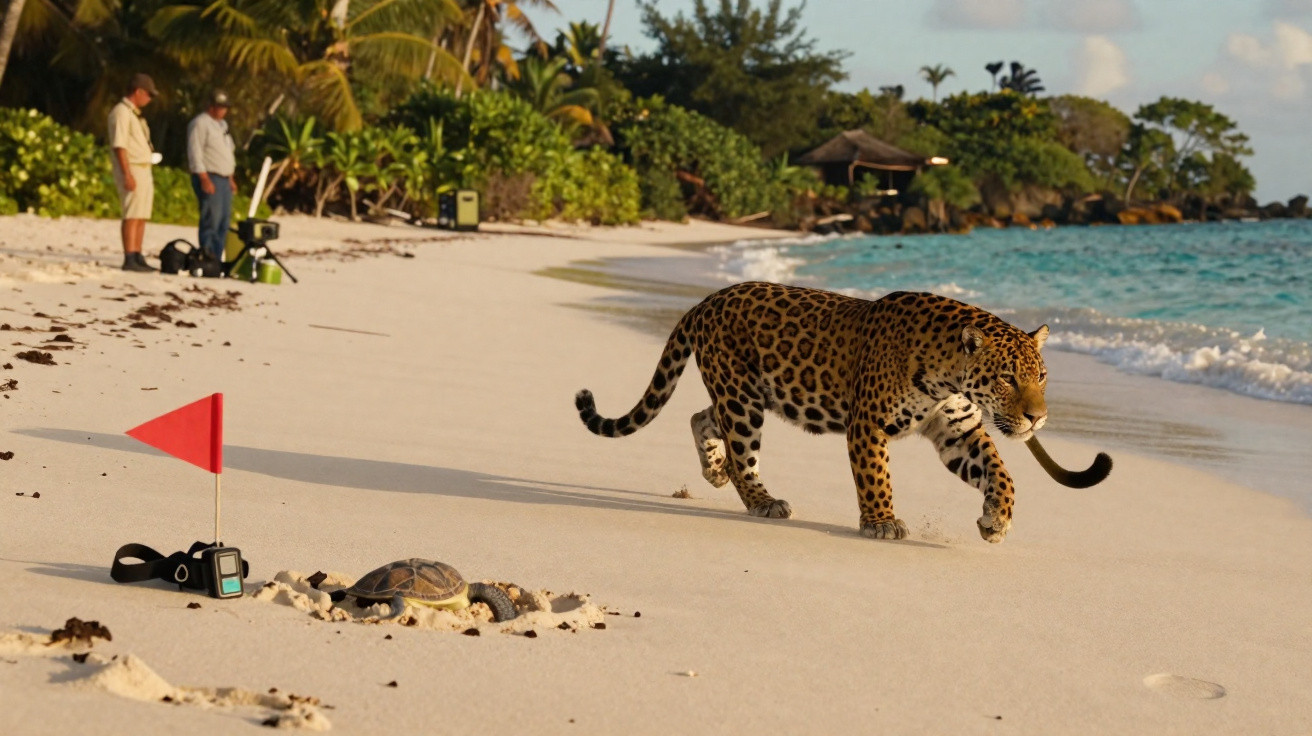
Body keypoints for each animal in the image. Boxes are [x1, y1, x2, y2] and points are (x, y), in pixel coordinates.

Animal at [574, 281, 1071, 544]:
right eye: (1007, 378)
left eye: (1042, 375)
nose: (1038, 418)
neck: (948, 374)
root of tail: (705, 301)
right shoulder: (867, 423)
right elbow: (876, 476)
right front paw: (881, 523)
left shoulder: (958, 430)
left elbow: (1001, 473)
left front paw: (997, 519)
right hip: (741, 398)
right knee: (742, 454)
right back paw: (763, 501)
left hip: (748, 393)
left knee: (702, 418)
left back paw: (714, 471)